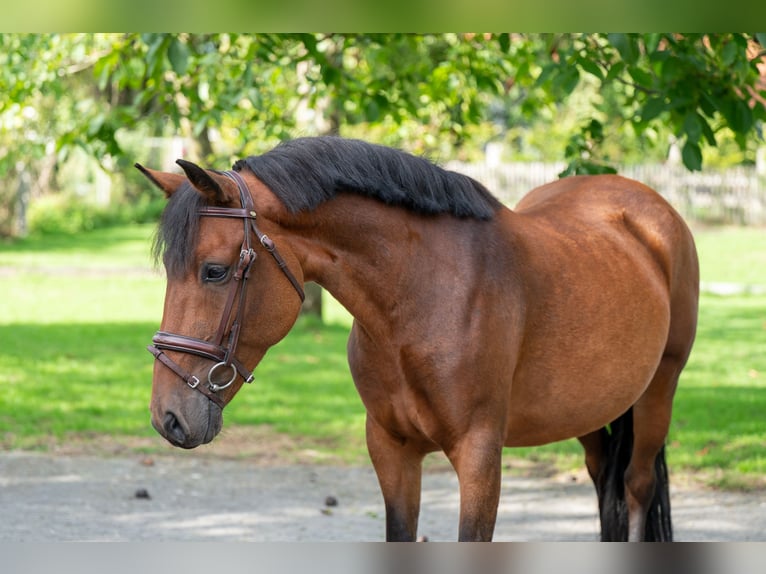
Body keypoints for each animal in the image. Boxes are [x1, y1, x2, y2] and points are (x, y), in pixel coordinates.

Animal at [137, 136, 699, 542]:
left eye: (213, 271)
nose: (168, 417)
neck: (419, 302)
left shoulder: (479, 456)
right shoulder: (392, 450)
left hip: (660, 391)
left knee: (635, 488)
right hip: (589, 410)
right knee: (604, 479)